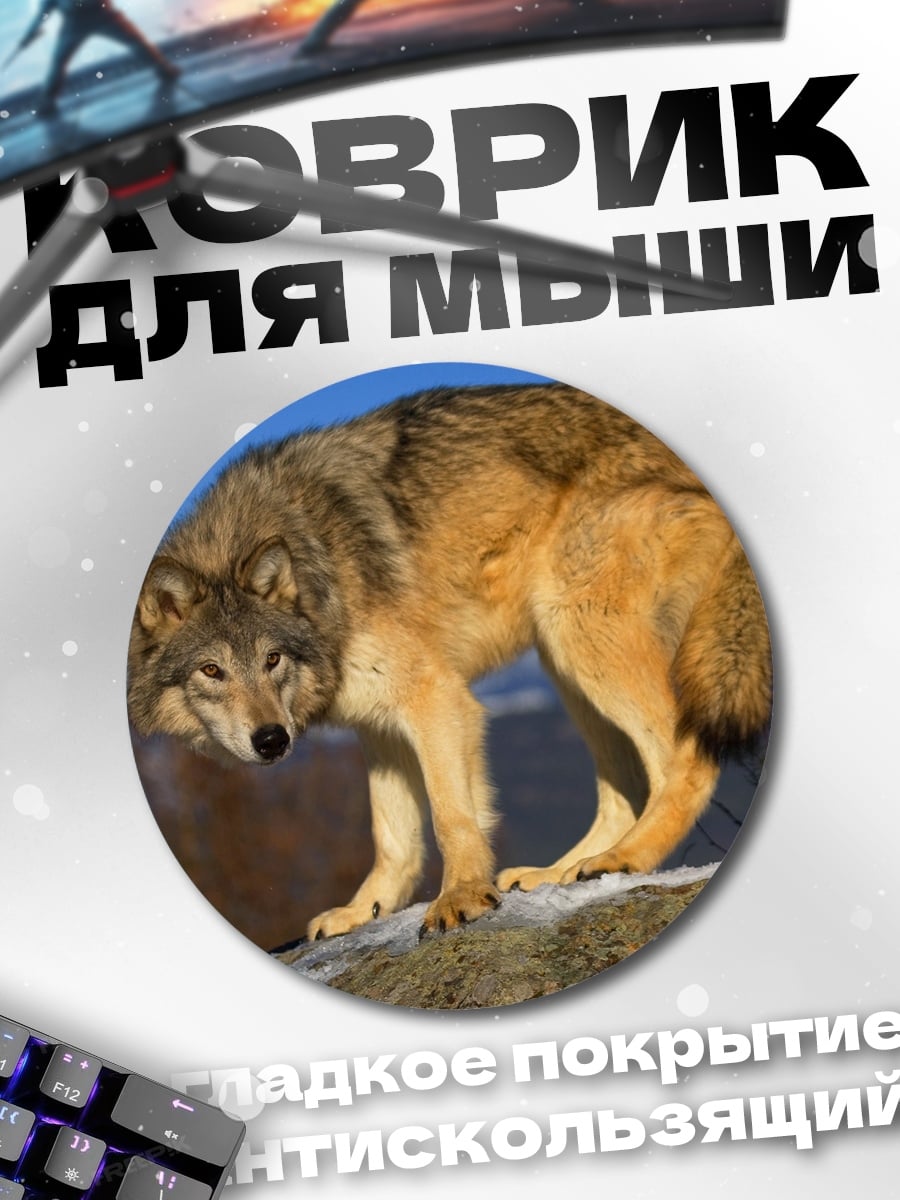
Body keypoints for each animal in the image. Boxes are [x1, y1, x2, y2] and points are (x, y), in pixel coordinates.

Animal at [127, 383, 772, 939]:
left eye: (272, 659)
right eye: (212, 670)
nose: (271, 741)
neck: (318, 562)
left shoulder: (435, 696)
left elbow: (449, 815)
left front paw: (460, 897)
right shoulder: (378, 724)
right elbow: (393, 835)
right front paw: (365, 911)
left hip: (581, 631)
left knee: (683, 758)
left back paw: (627, 857)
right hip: (564, 661)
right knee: (626, 787)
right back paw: (560, 873)